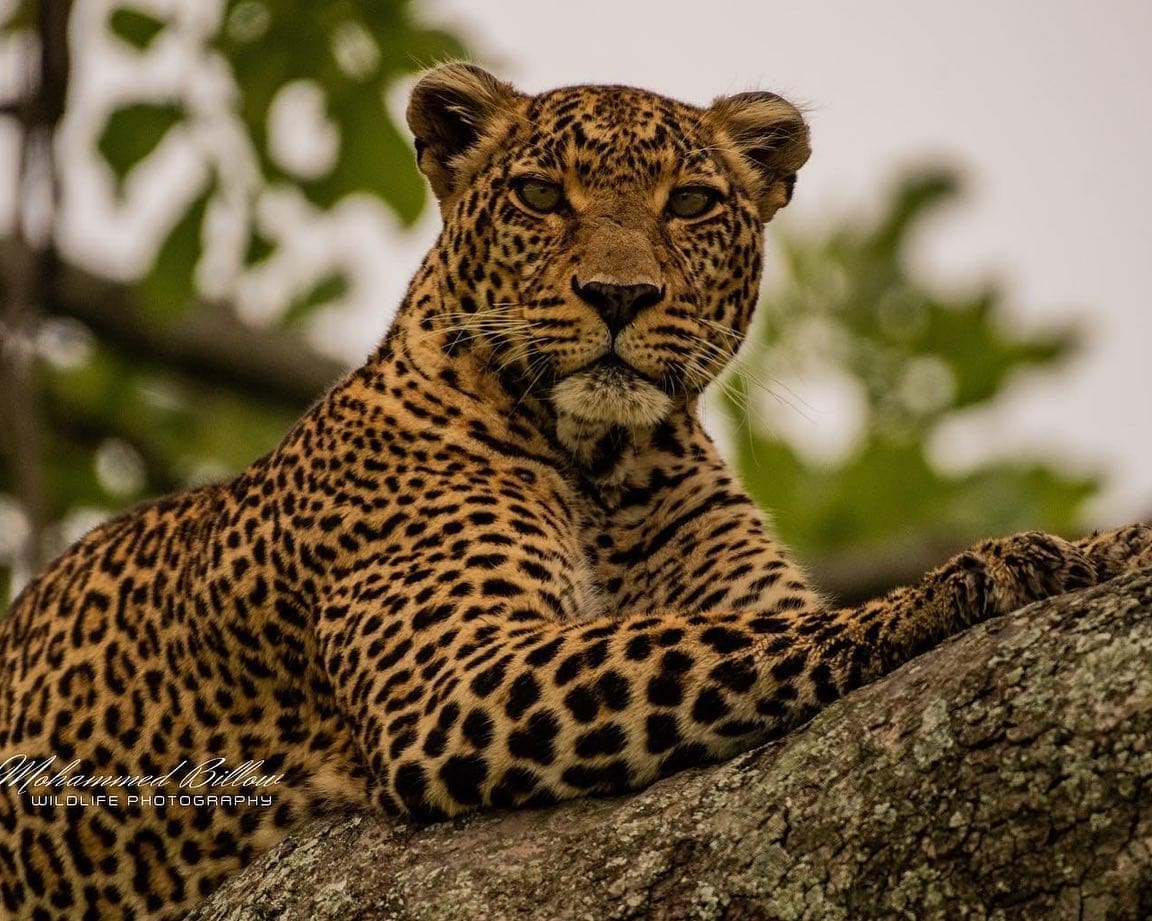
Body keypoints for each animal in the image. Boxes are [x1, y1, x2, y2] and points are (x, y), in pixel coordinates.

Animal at [1, 63, 1150, 920]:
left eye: (691, 203)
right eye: (541, 196)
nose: (618, 295)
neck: (612, 473)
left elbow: (750, 621)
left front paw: (1107, 549)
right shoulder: (453, 679)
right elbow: (746, 641)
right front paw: (979, 574)